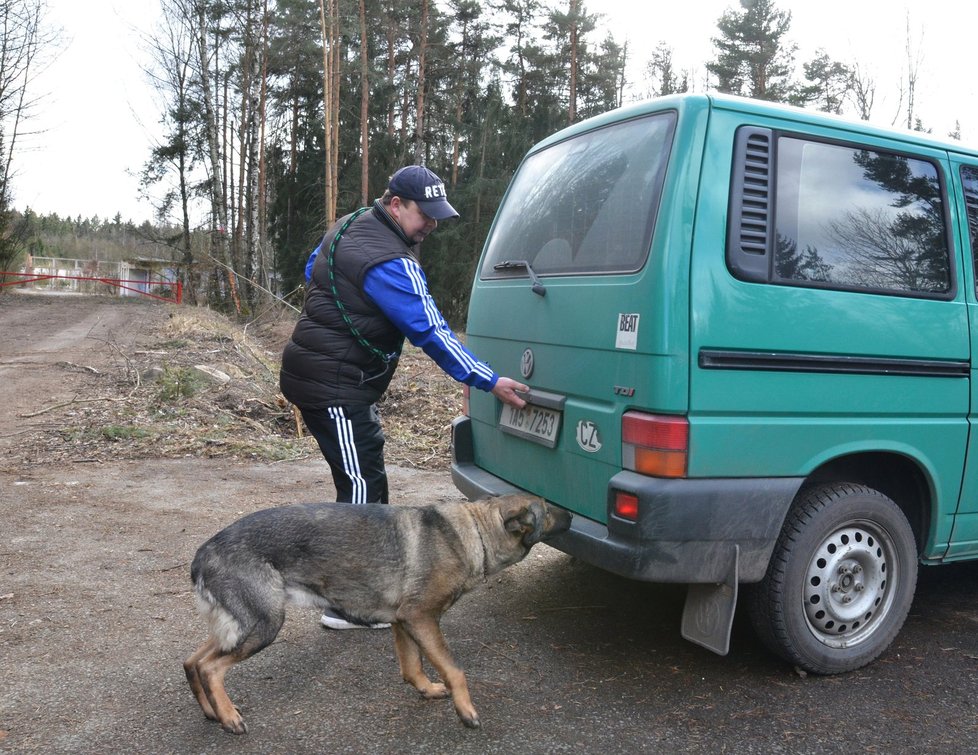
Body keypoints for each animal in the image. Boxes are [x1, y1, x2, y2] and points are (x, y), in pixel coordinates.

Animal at [183, 494, 572, 736]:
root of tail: (204, 553)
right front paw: (466, 710)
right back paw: (229, 717)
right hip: (265, 625)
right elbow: (455, 670)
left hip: (240, 626)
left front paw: (428, 689)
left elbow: (412, 667)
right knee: (211, 667)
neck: (473, 532)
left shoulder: (405, 623)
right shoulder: (421, 618)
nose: (572, 514)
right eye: (548, 509)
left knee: (193, 661)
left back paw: (210, 710)